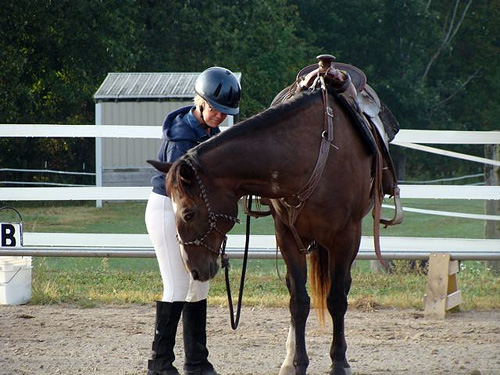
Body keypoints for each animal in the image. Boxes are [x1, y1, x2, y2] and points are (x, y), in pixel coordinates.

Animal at [150, 81, 388, 374]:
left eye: (188, 213)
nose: (193, 269)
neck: (312, 153)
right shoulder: (287, 237)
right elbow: (298, 301)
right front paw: (298, 362)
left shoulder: (346, 238)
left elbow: (336, 299)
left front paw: (339, 362)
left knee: (340, 288)